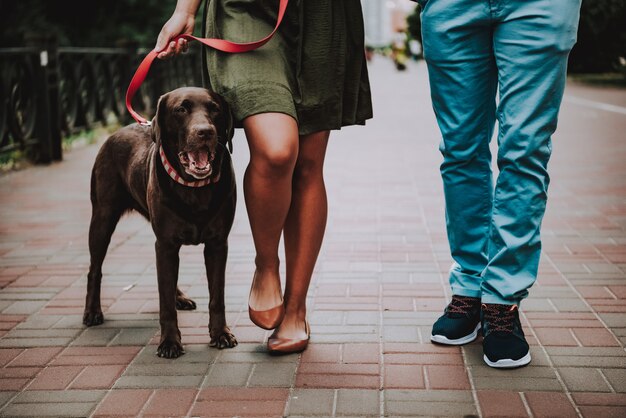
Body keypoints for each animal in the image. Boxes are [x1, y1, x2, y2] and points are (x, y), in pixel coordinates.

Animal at [83, 86, 236, 358]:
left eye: (215, 109)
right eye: (181, 109)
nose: (205, 131)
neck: (194, 189)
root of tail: (116, 133)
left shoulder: (217, 244)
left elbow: (216, 296)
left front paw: (220, 334)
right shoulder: (165, 243)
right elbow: (164, 304)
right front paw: (170, 342)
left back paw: (180, 297)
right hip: (102, 218)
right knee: (94, 269)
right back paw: (92, 312)